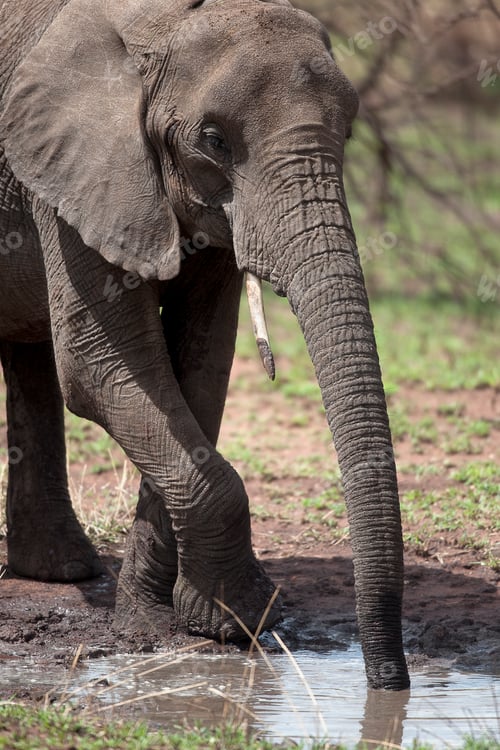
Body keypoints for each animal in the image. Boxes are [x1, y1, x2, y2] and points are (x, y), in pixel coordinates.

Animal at [0, 0, 409, 690]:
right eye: (215, 140)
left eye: (349, 133)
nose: (390, 681)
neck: (164, 23)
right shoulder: (75, 168)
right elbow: (102, 365)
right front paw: (243, 617)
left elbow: (199, 365)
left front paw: (160, 620)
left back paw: (63, 571)